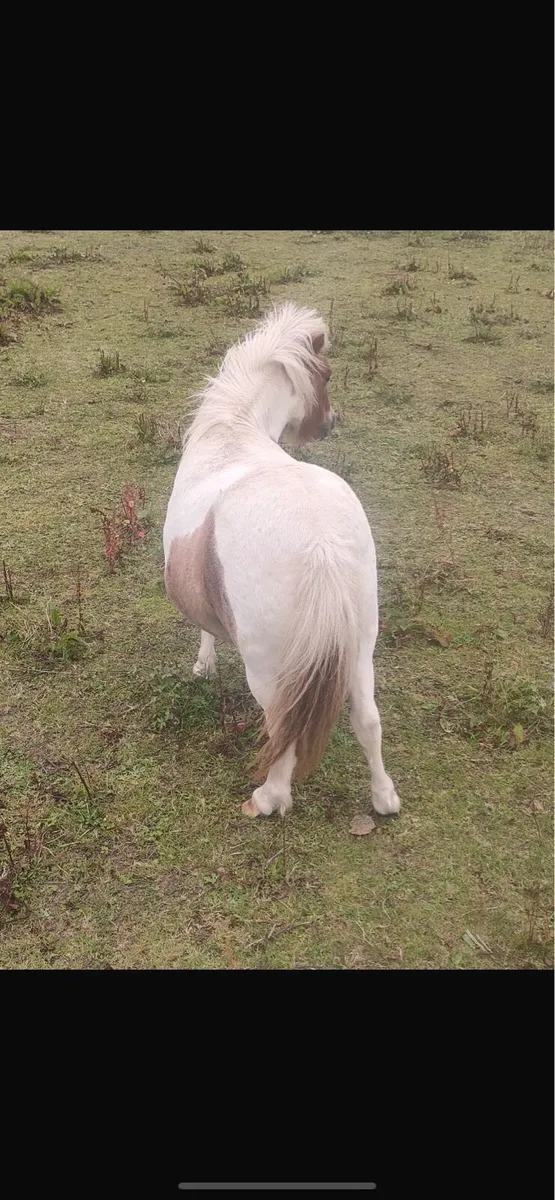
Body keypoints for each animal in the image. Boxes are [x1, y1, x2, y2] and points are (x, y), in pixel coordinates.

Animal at [163, 302, 401, 820]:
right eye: (327, 375)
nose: (329, 424)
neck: (231, 436)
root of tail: (320, 543)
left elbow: (204, 628)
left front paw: (203, 666)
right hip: (361, 644)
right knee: (368, 720)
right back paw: (384, 797)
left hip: (269, 666)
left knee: (281, 726)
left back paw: (269, 798)